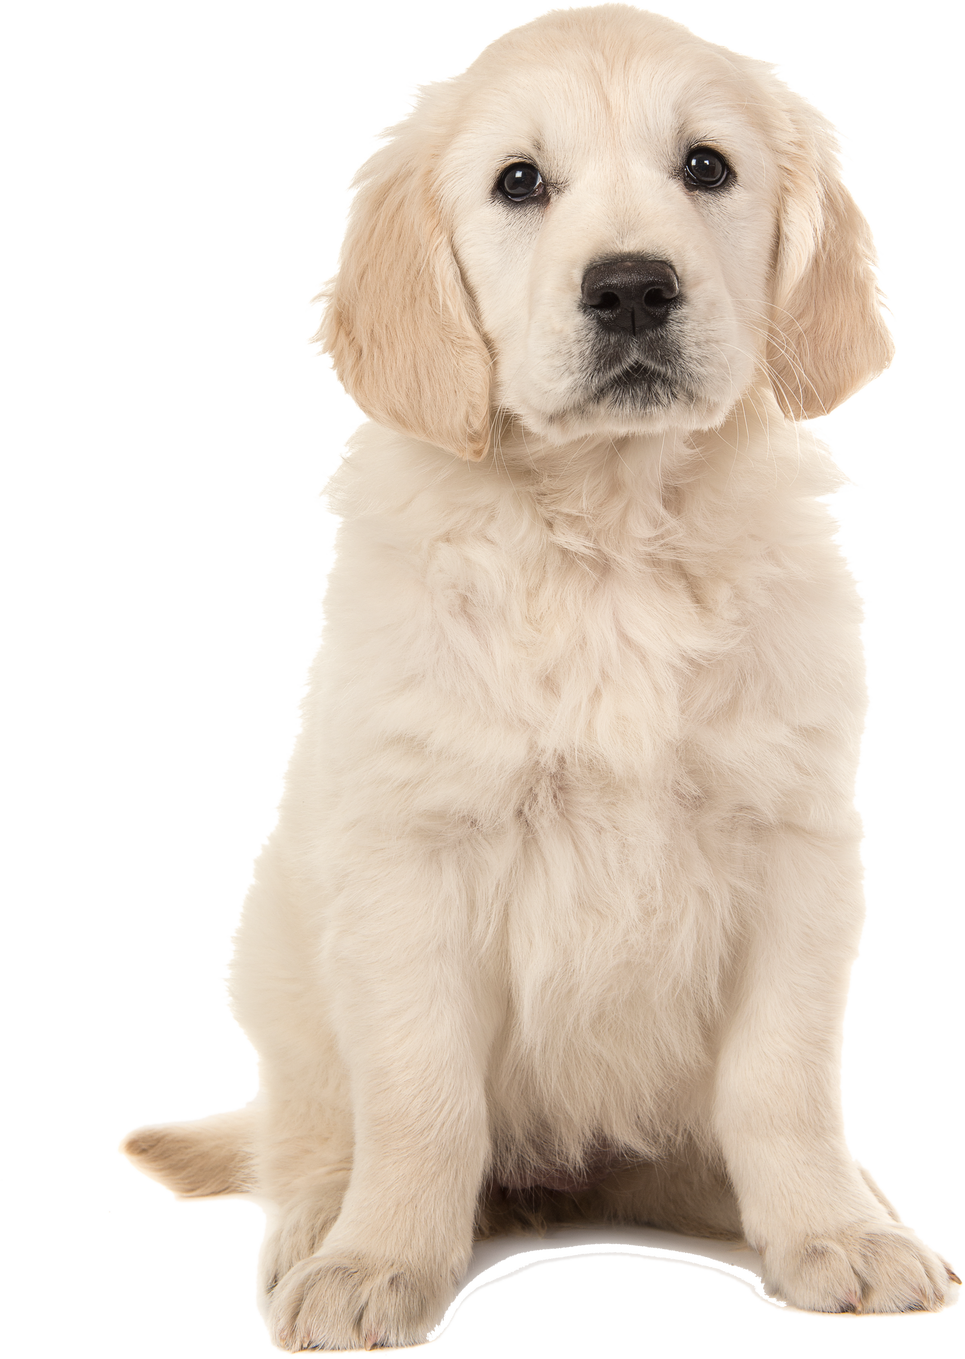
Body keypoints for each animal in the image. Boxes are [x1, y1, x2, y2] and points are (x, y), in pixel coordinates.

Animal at [116, 5, 962, 1348]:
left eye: (705, 166)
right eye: (519, 183)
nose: (630, 288)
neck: (608, 533)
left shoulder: (794, 844)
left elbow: (781, 1079)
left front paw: (833, 1233)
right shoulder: (410, 856)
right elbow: (420, 1095)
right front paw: (381, 1264)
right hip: (274, 966)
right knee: (305, 1135)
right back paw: (315, 1232)